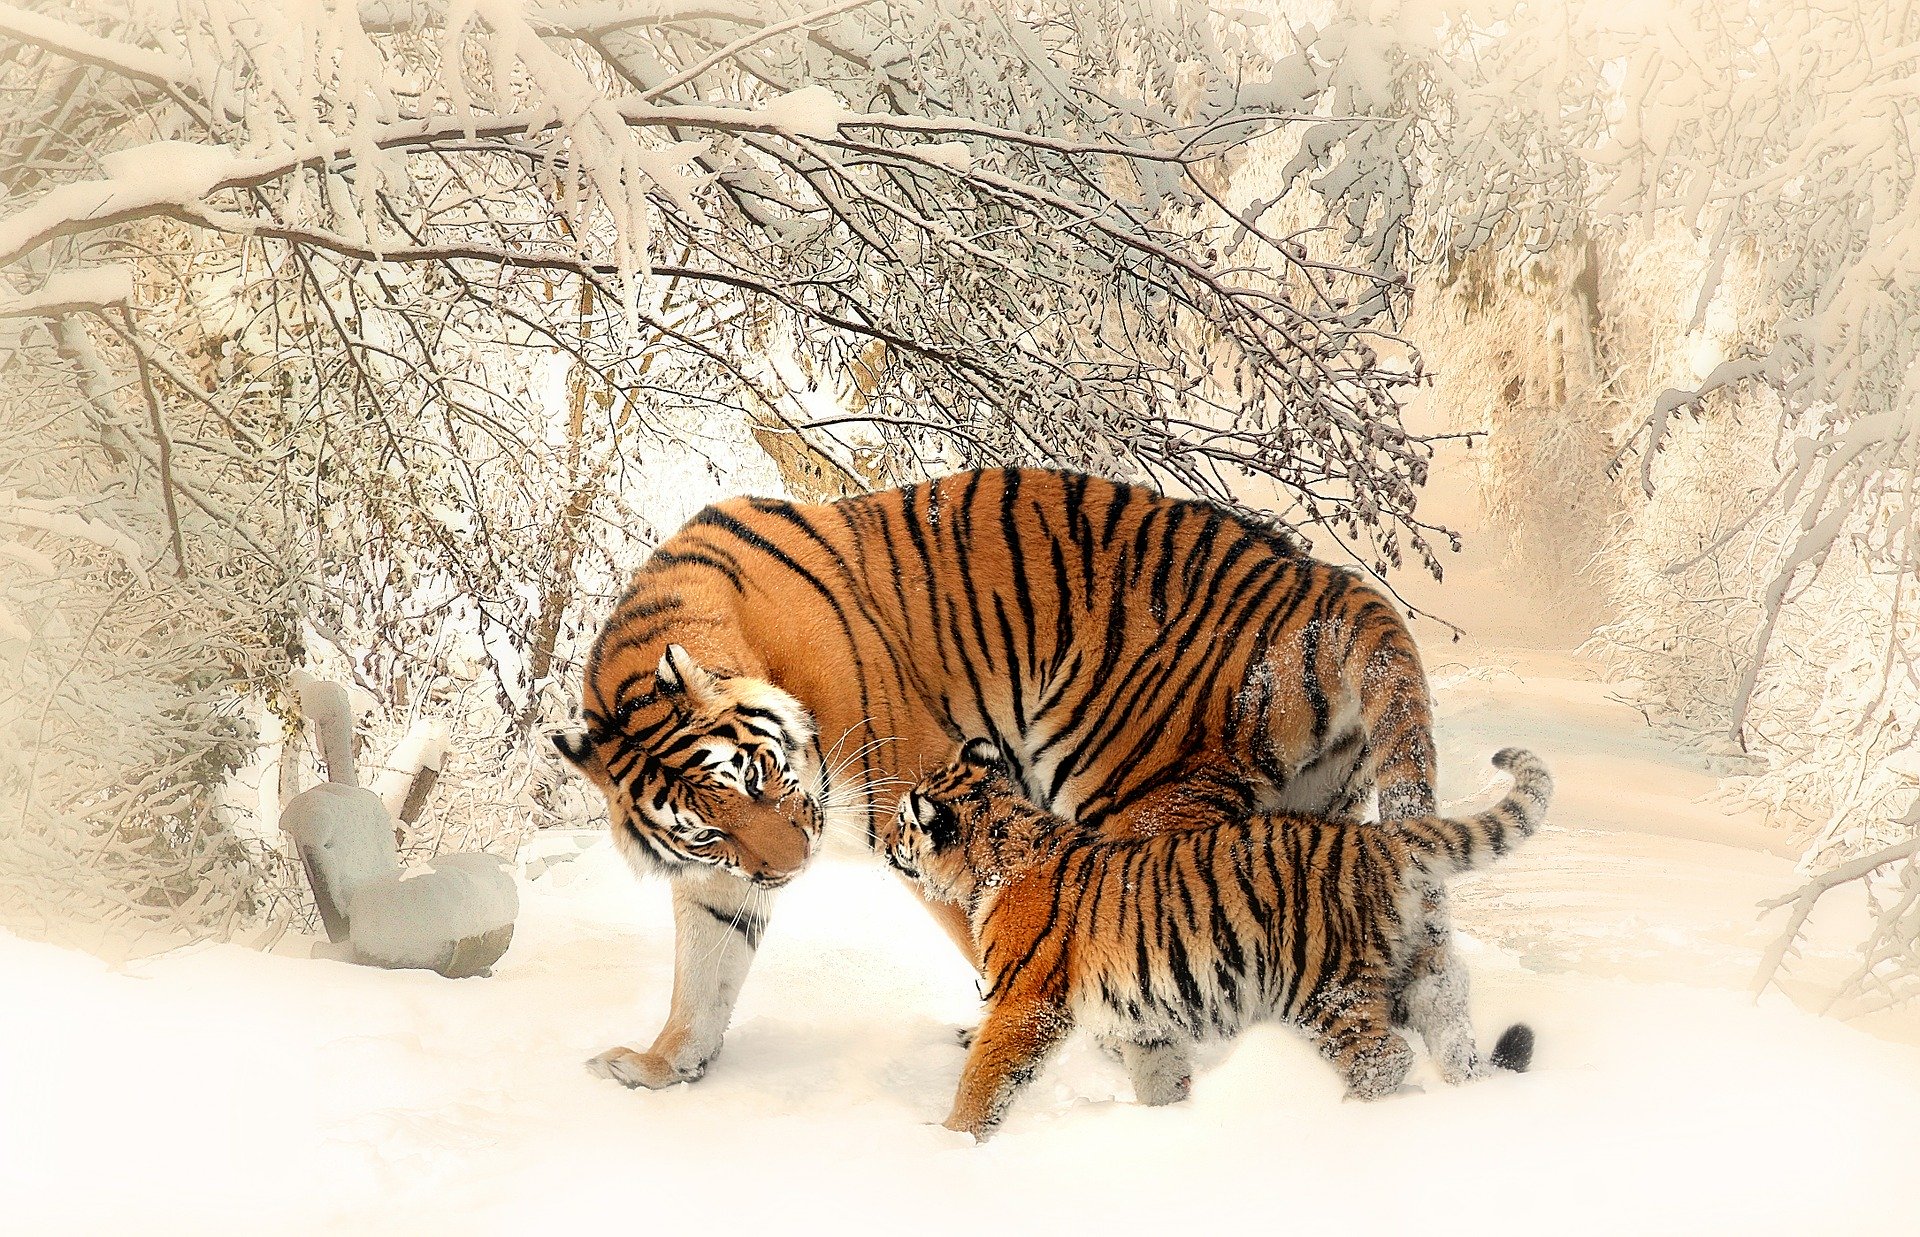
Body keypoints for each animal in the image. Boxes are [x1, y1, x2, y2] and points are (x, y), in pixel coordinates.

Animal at [554, 468, 1446, 1091]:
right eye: (708, 829)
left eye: (762, 776)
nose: (791, 868)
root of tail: (1329, 584)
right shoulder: (720, 876)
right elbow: (703, 971)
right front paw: (662, 1065)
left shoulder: (918, 795)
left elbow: (987, 931)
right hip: (1311, 815)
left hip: (1136, 794)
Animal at [881, 739, 1551, 1140]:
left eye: (903, 822)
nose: (883, 844)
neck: (997, 849)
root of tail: (1378, 838)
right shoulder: (1143, 1018)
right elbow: (1159, 1077)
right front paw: (1170, 1125)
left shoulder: (1025, 1004)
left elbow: (983, 1077)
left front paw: (951, 1142)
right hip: (1414, 972)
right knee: (1449, 1026)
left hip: (1324, 988)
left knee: (1384, 1059)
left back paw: (1345, 1119)